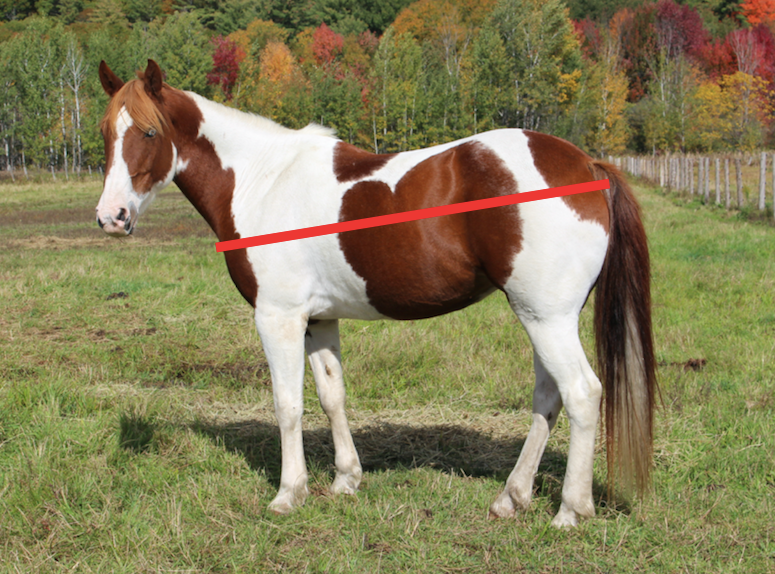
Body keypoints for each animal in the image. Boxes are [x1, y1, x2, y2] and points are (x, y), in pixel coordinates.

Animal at [96, 59, 656, 528]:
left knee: (582, 393)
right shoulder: (318, 319)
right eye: (106, 132)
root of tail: (587, 166)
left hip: (546, 316)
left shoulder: (278, 317)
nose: (111, 217)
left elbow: (287, 404)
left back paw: (569, 511)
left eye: (149, 132)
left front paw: (288, 493)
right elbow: (331, 395)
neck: (262, 181)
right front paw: (346, 480)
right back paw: (510, 498)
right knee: (549, 396)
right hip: (542, 315)